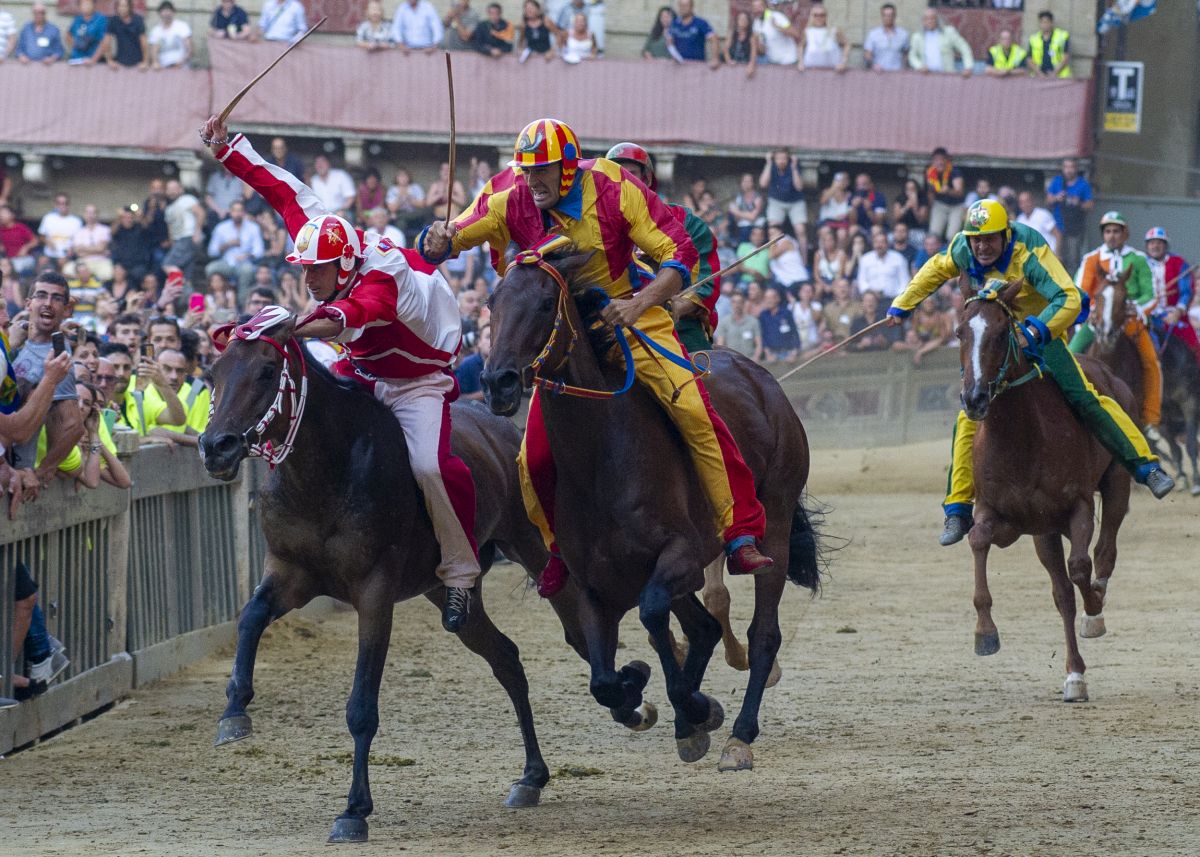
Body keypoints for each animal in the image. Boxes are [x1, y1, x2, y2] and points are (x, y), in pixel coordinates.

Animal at [197, 310, 555, 844]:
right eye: (213, 373)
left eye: (265, 371)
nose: (215, 447)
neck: (330, 468)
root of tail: (503, 426)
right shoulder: (290, 572)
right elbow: (250, 616)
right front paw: (234, 712)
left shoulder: (374, 591)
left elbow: (362, 707)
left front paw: (354, 810)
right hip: (446, 592)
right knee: (506, 658)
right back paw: (531, 776)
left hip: (533, 545)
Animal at [480, 248, 821, 772]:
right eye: (492, 303)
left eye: (542, 305)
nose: (497, 381)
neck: (601, 460)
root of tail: (762, 378)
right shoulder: (594, 583)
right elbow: (603, 679)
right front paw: (651, 692)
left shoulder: (680, 557)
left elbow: (656, 615)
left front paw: (695, 707)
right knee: (702, 627)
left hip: (776, 524)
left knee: (763, 633)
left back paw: (739, 735)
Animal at [957, 278, 1132, 702]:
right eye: (959, 333)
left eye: (1001, 333)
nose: (975, 398)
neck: (1022, 436)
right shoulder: (1006, 515)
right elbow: (978, 539)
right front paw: (985, 633)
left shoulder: (1078, 504)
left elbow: (1081, 566)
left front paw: (1094, 607)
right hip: (1045, 534)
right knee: (1062, 595)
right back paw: (1075, 675)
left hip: (1116, 482)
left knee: (1105, 549)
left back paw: (1094, 610)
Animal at [1089, 277, 1200, 494]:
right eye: (1097, 296)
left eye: (1124, 299)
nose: (1105, 333)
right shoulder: (1160, 416)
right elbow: (1175, 449)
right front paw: (1182, 478)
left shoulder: (1190, 404)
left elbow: (1191, 444)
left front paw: (1196, 482)